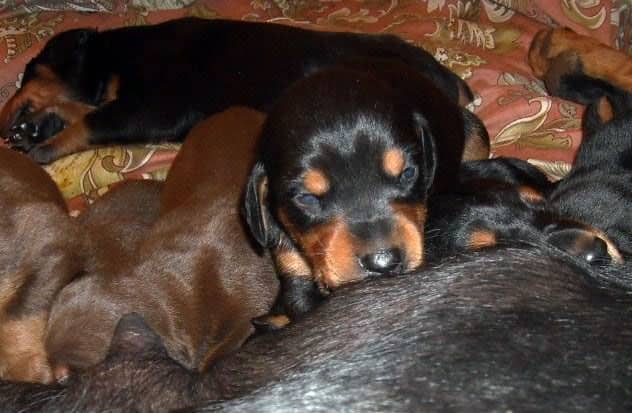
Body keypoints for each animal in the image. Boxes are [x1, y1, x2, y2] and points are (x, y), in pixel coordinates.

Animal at [0, 16, 476, 164]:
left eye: (27, 71)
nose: (6, 118)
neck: (113, 58)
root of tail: (448, 77)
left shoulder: (157, 106)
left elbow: (93, 120)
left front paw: (44, 145)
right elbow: (82, 111)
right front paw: (36, 128)